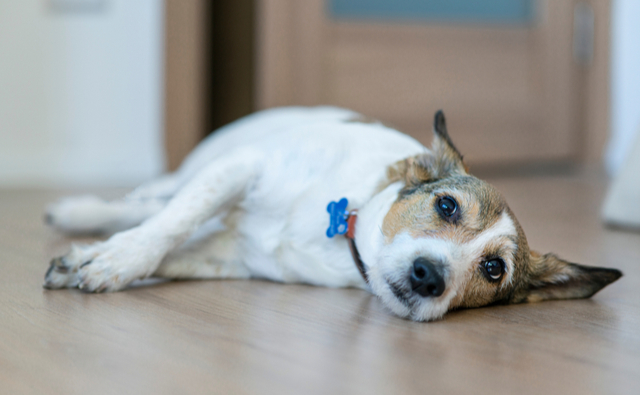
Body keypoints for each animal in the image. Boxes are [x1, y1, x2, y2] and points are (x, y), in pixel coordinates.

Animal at [42, 106, 624, 322]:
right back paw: (80, 212)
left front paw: (93, 263)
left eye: (494, 269)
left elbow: (175, 249)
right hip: (194, 171)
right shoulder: (243, 167)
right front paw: (116, 260)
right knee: (147, 204)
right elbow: (169, 225)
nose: (428, 276)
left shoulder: (230, 256)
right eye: (446, 205)